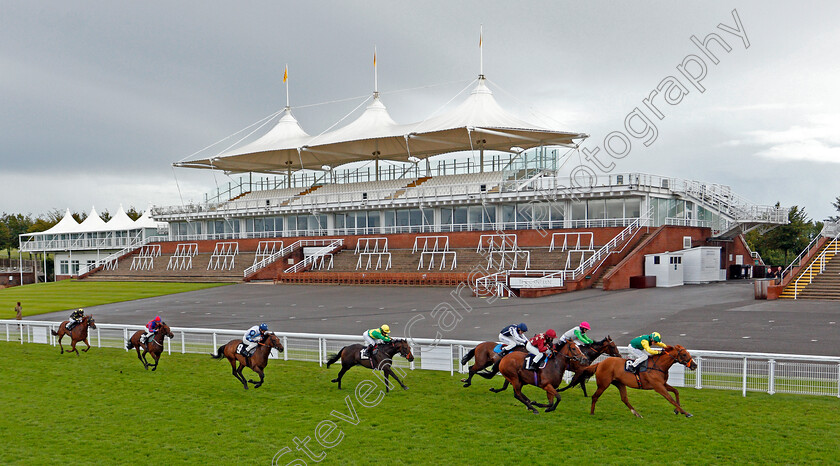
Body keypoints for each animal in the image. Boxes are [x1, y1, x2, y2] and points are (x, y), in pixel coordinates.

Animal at [568, 344, 700, 416]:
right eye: (684, 354)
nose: (694, 365)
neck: (658, 365)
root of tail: (600, 363)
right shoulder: (658, 387)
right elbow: (670, 398)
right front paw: (686, 413)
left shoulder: (663, 383)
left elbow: (676, 392)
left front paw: (678, 410)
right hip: (603, 384)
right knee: (595, 396)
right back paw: (592, 412)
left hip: (619, 383)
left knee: (624, 399)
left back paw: (637, 414)